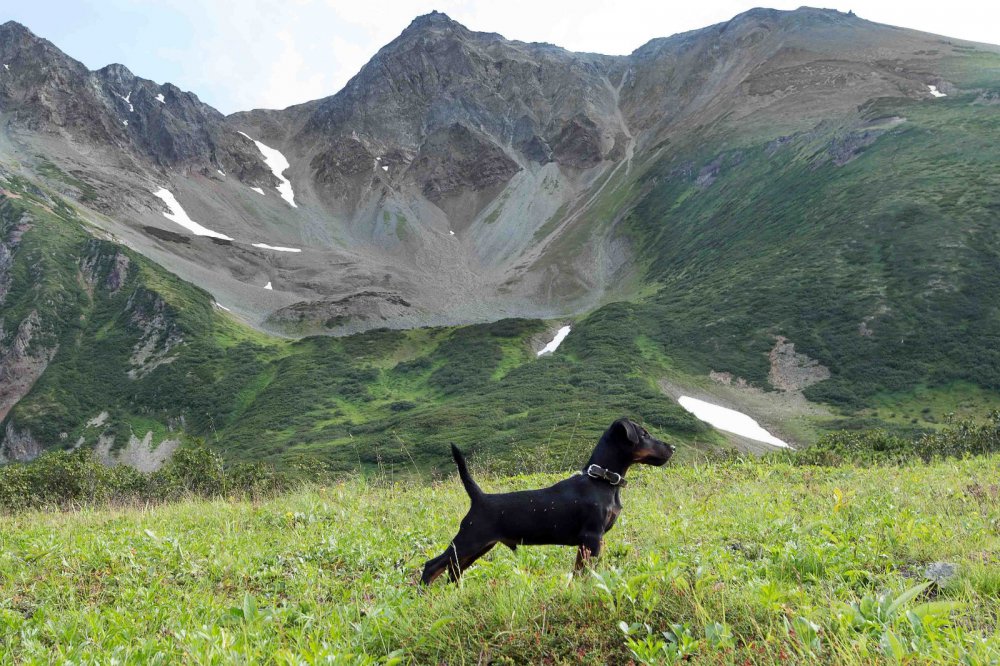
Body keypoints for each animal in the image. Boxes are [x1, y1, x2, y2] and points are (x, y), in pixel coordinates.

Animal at [418, 418, 676, 584]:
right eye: (644, 435)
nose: (672, 447)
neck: (601, 480)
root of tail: (479, 498)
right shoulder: (592, 537)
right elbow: (585, 573)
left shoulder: (588, 543)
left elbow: (578, 572)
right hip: (469, 541)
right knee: (432, 566)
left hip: (480, 547)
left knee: (452, 571)